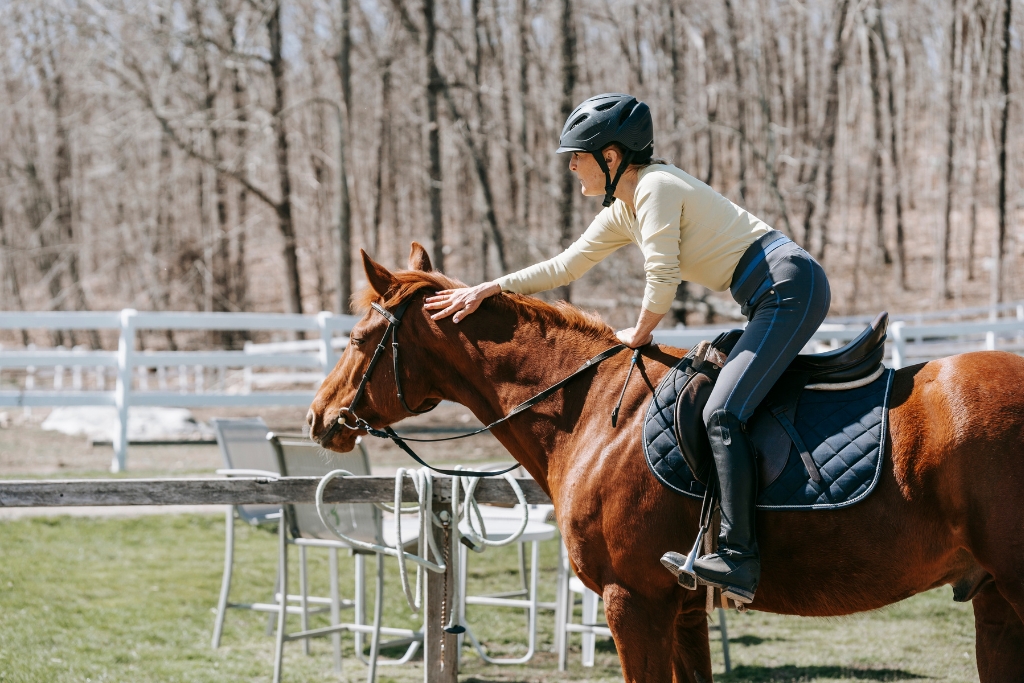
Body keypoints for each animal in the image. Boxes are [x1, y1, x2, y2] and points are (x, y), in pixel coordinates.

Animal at [307, 242, 1024, 679]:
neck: (596, 411)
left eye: (359, 338)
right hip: (995, 601)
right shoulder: (681, 611)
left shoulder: (633, 603)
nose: (319, 417)